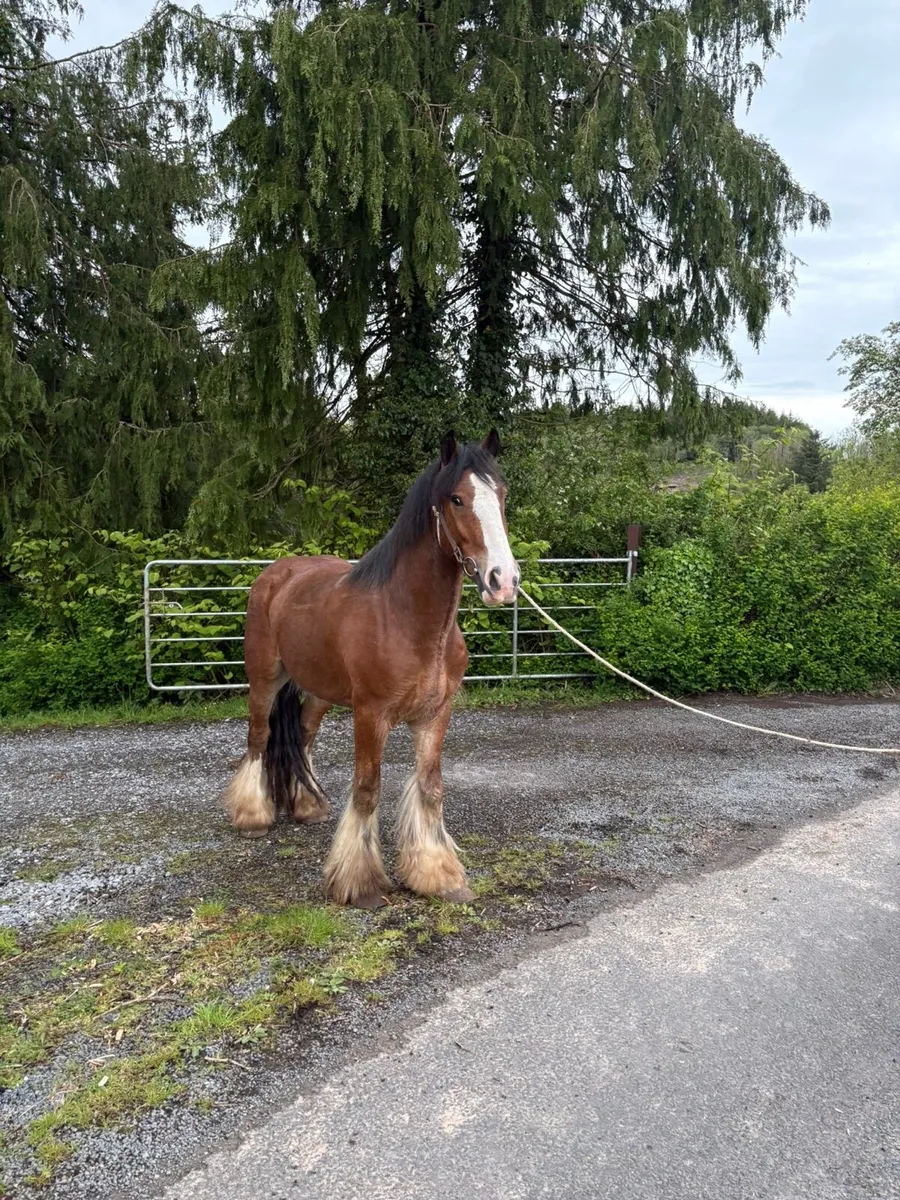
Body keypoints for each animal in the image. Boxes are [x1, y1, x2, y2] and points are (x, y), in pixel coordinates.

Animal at [223, 430, 519, 908]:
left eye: (503, 495)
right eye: (456, 499)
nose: (503, 581)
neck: (408, 619)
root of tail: (276, 574)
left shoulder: (435, 715)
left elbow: (431, 788)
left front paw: (438, 874)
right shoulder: (370, 715)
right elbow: (367, 789)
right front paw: (360, 884)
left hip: (319, 690)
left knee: (303, 734)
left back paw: (307, 805)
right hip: (264, 678)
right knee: (258, 737)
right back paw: (252, 815)